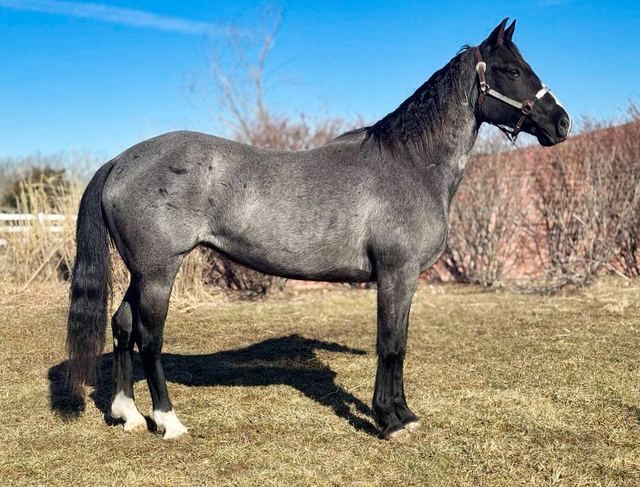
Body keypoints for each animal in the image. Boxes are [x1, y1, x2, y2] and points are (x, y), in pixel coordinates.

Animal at [66, 18, 570, 441]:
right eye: (511, 70)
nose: (562, 122)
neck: (409, 163)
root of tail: (121, 160)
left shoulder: (405, 280)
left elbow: (400, 343)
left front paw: (404, 414)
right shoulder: (397, 275)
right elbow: (391, 344)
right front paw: (390, 421)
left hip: (141, 272)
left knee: (122, 325)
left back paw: (128, 414)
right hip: (158, 272)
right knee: (150, 337)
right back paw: (168, 422)